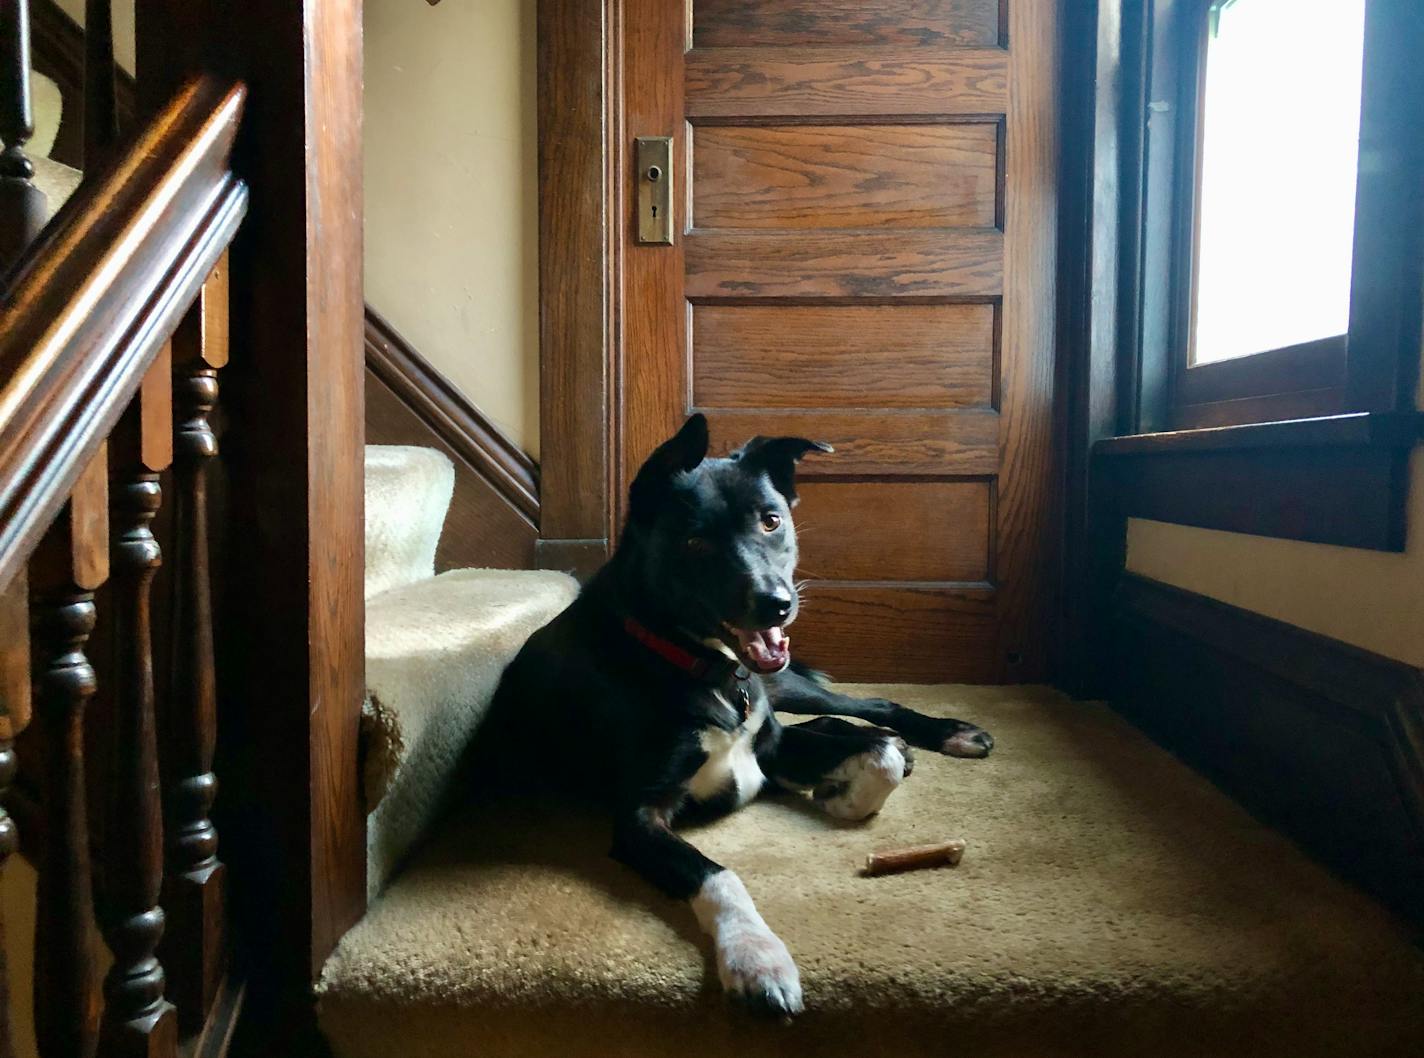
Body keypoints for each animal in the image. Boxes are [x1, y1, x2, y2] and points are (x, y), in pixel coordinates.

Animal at [478, 412, 991, 1019]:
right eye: (695, 540)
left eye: (772, 520)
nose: (777, 604)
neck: (698, 666)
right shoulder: (640, 816)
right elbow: (719, 874)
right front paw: (755, 956)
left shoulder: (766, 745)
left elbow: (876, 754)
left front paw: (846, 791)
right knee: (848, 724)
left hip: (789, 685)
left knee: (869, 709)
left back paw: (951, 732)